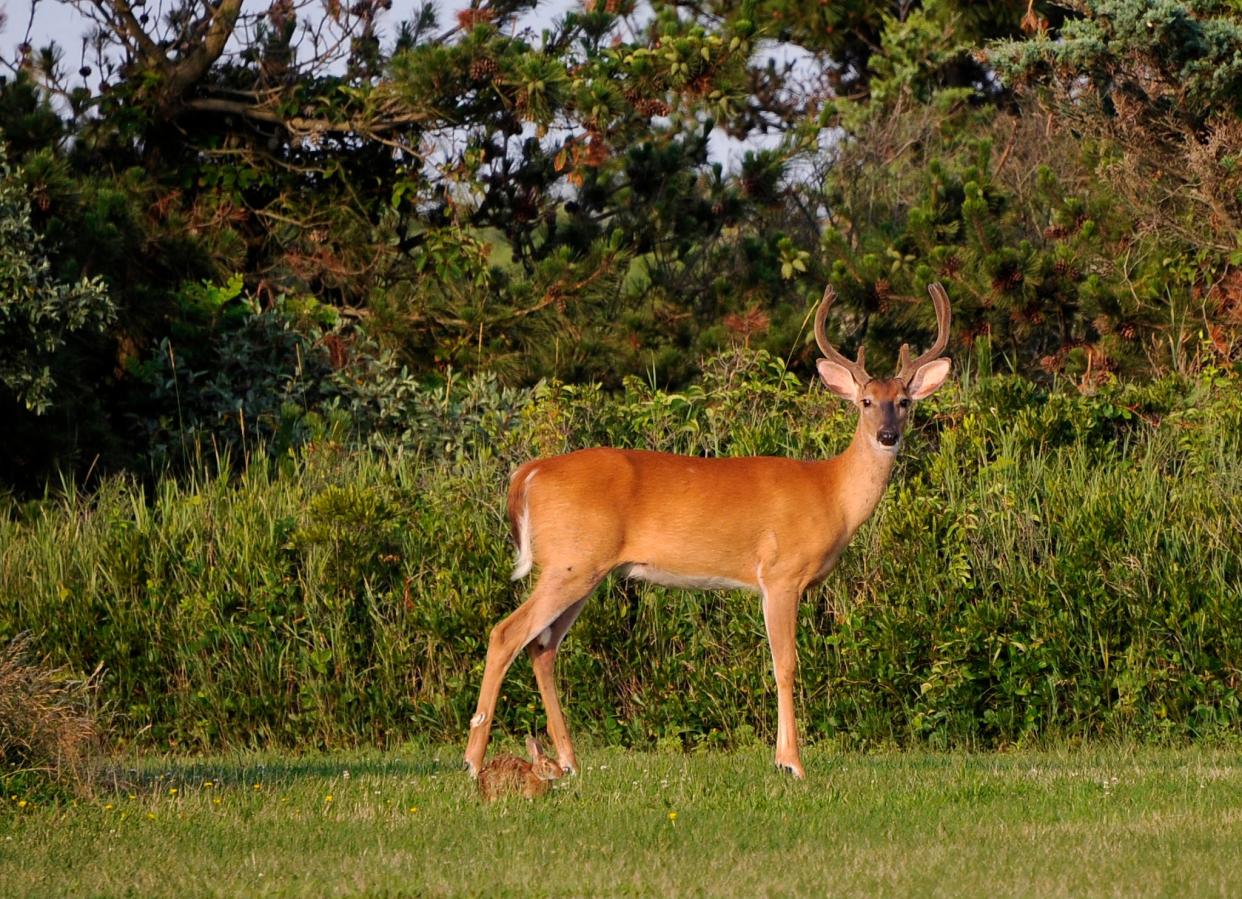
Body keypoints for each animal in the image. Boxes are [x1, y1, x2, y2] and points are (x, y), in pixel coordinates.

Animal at [466, 283, 948, 779]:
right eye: (866, 402)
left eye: (905, 402)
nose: (888, 436)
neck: (830, 493)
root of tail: (530, 473)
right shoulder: (781, 574)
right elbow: (785, 664)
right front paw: (792, 763)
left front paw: (781, 758)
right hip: (570, 561)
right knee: (506, 634)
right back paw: (474, 761)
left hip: (582, 567)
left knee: (542, 649)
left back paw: (567, 761)